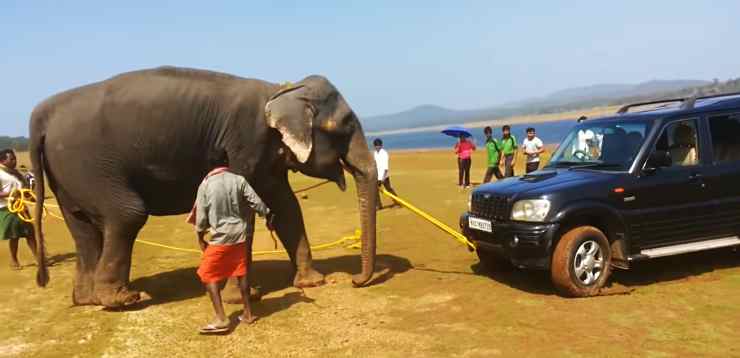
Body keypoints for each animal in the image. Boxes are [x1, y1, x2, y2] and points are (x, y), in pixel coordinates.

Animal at [27, 66, 376, 308]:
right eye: (345, 126)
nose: (355, 281)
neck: (280, 90)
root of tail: (42, 115)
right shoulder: (246, 141)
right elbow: (246, 209)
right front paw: (245, 296)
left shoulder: (267, 157)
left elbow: (286, 206)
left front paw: (312, 283)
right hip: (91, 166)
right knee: (126, 214)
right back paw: (121, 300)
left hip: (68, 175)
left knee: (83, 229)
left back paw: (87, 300)